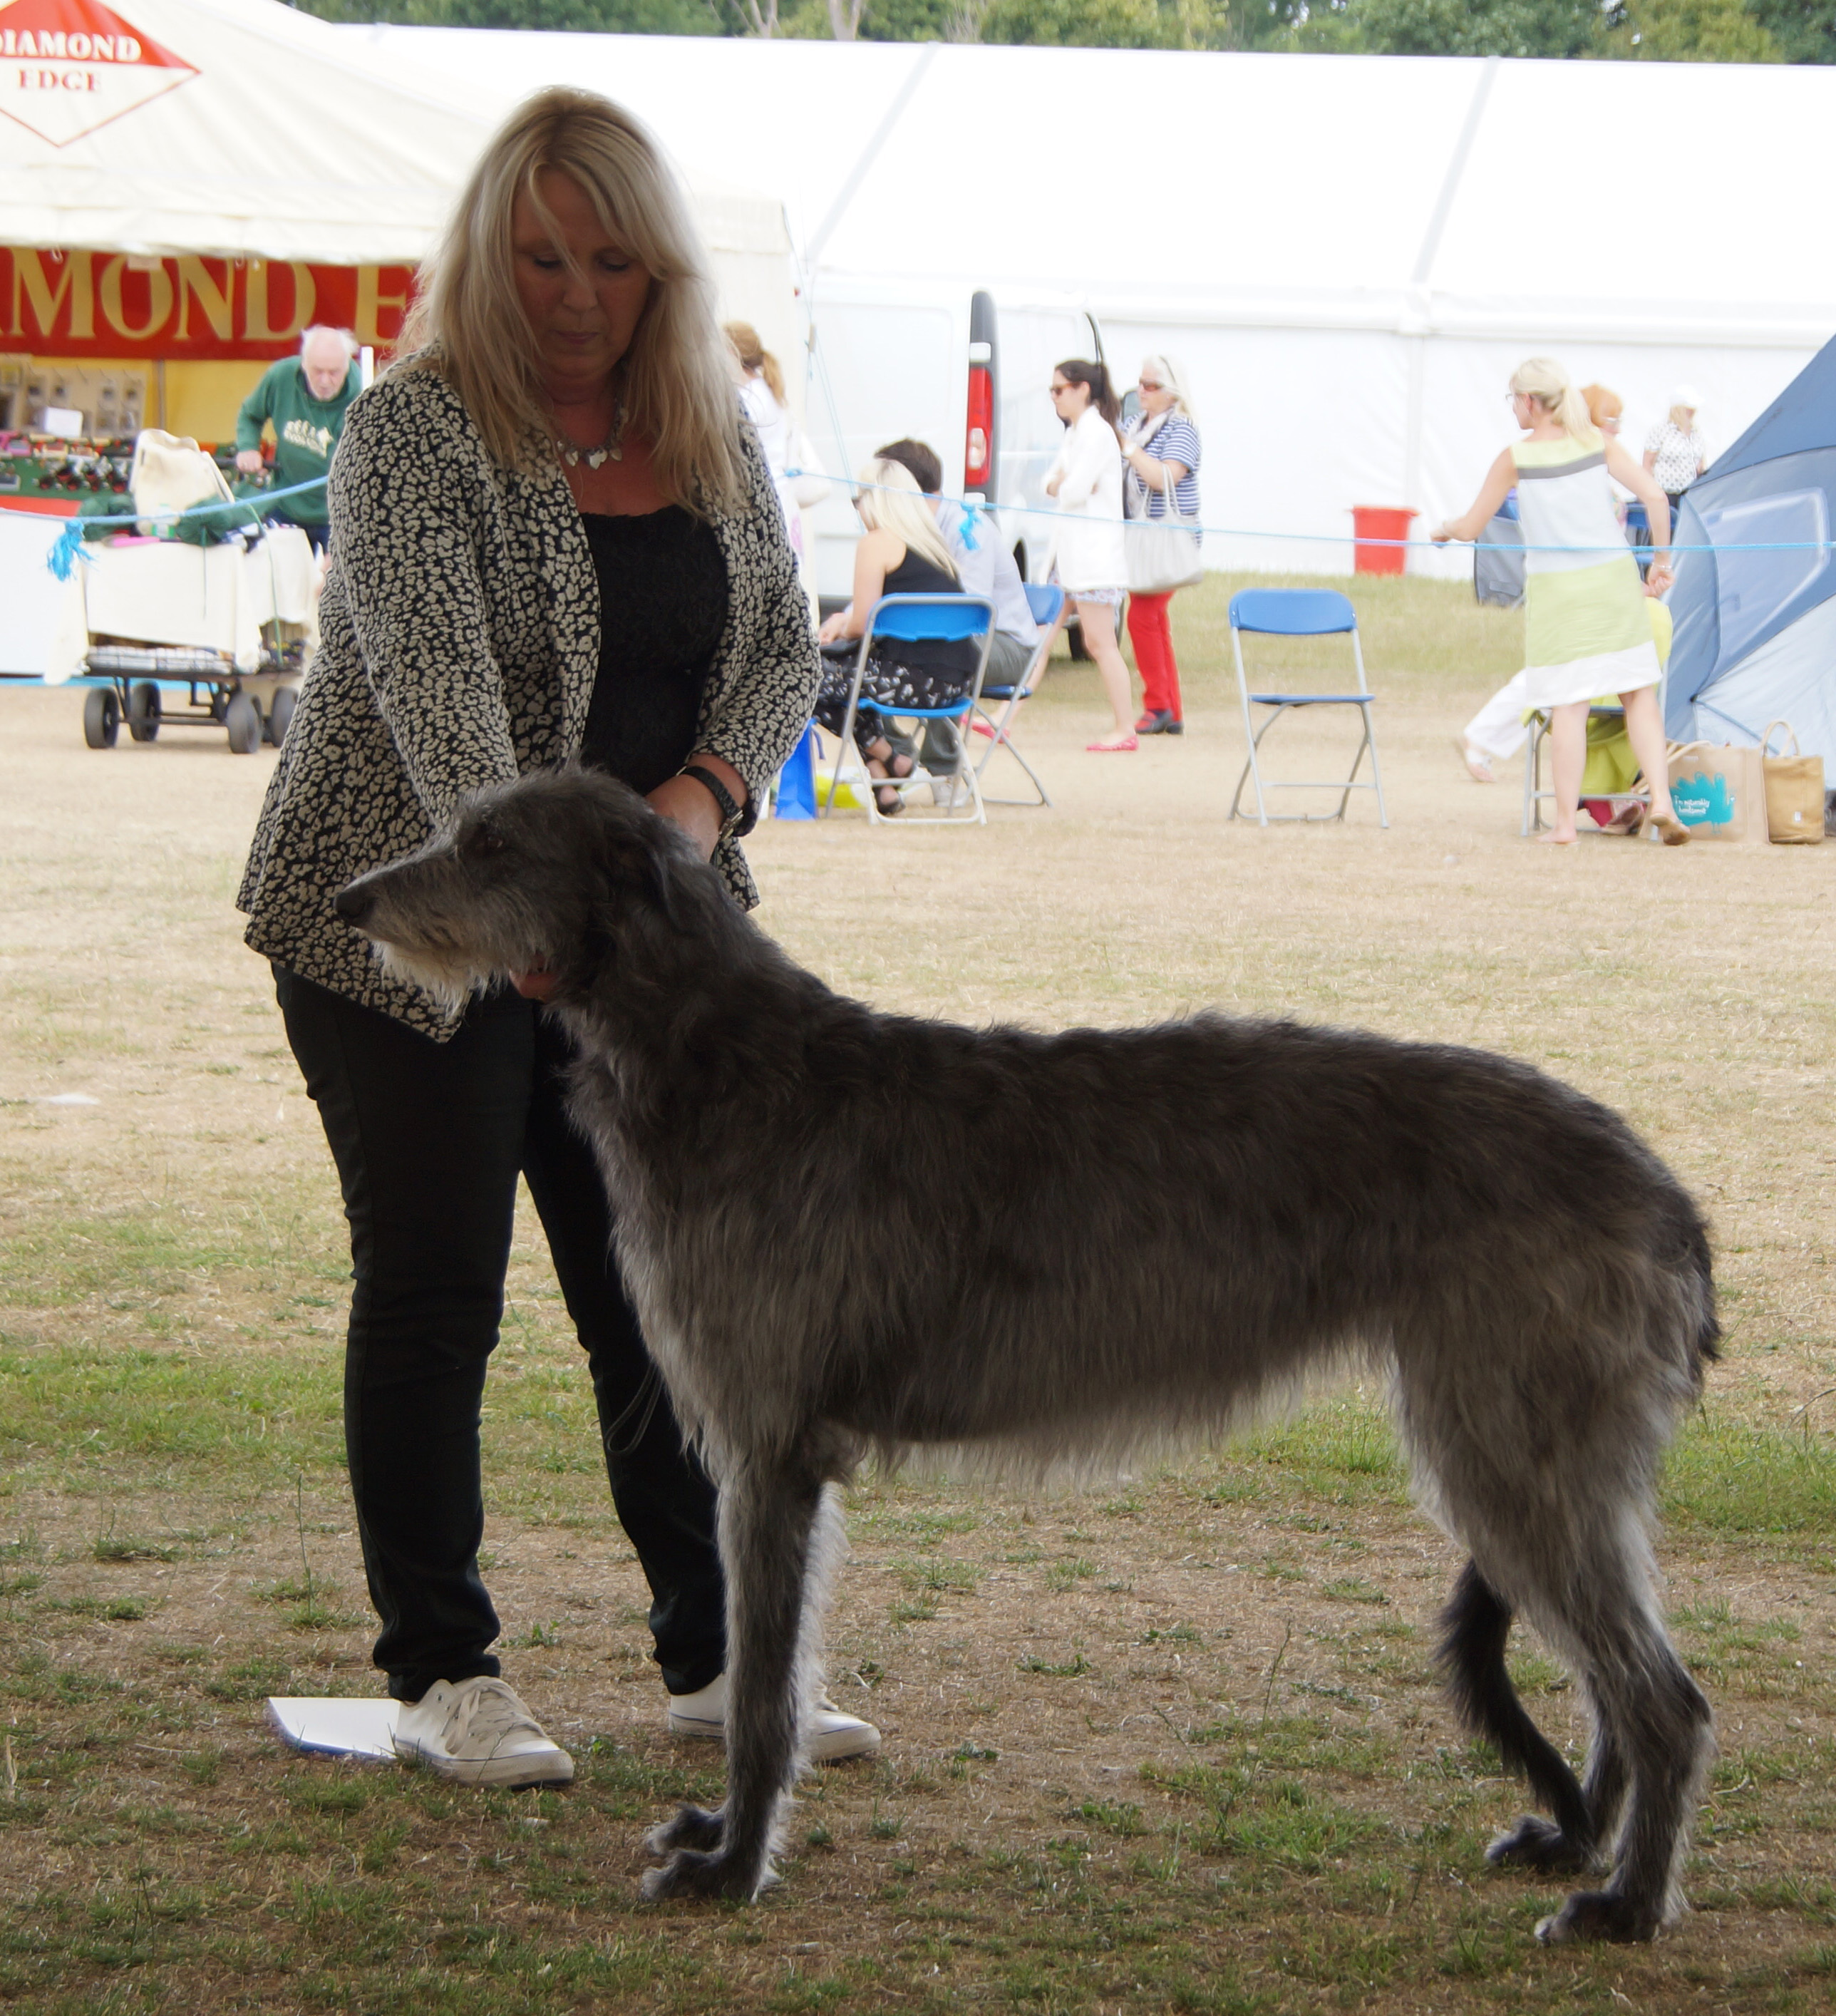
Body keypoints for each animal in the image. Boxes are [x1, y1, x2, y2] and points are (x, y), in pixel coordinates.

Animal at [340, 761, 1725, 1943]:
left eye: (493, 843)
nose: (351, 903)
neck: (719, 1057)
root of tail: (1664, 1192)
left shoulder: (770, 1451)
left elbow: (763, 1695)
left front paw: (732, 1865)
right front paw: (727, 1842)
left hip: (1506, 1437)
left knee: (1665, 1699)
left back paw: (1625, 1902)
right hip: (1529, 1448)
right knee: (1617, 1681)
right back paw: (1578, 1843)